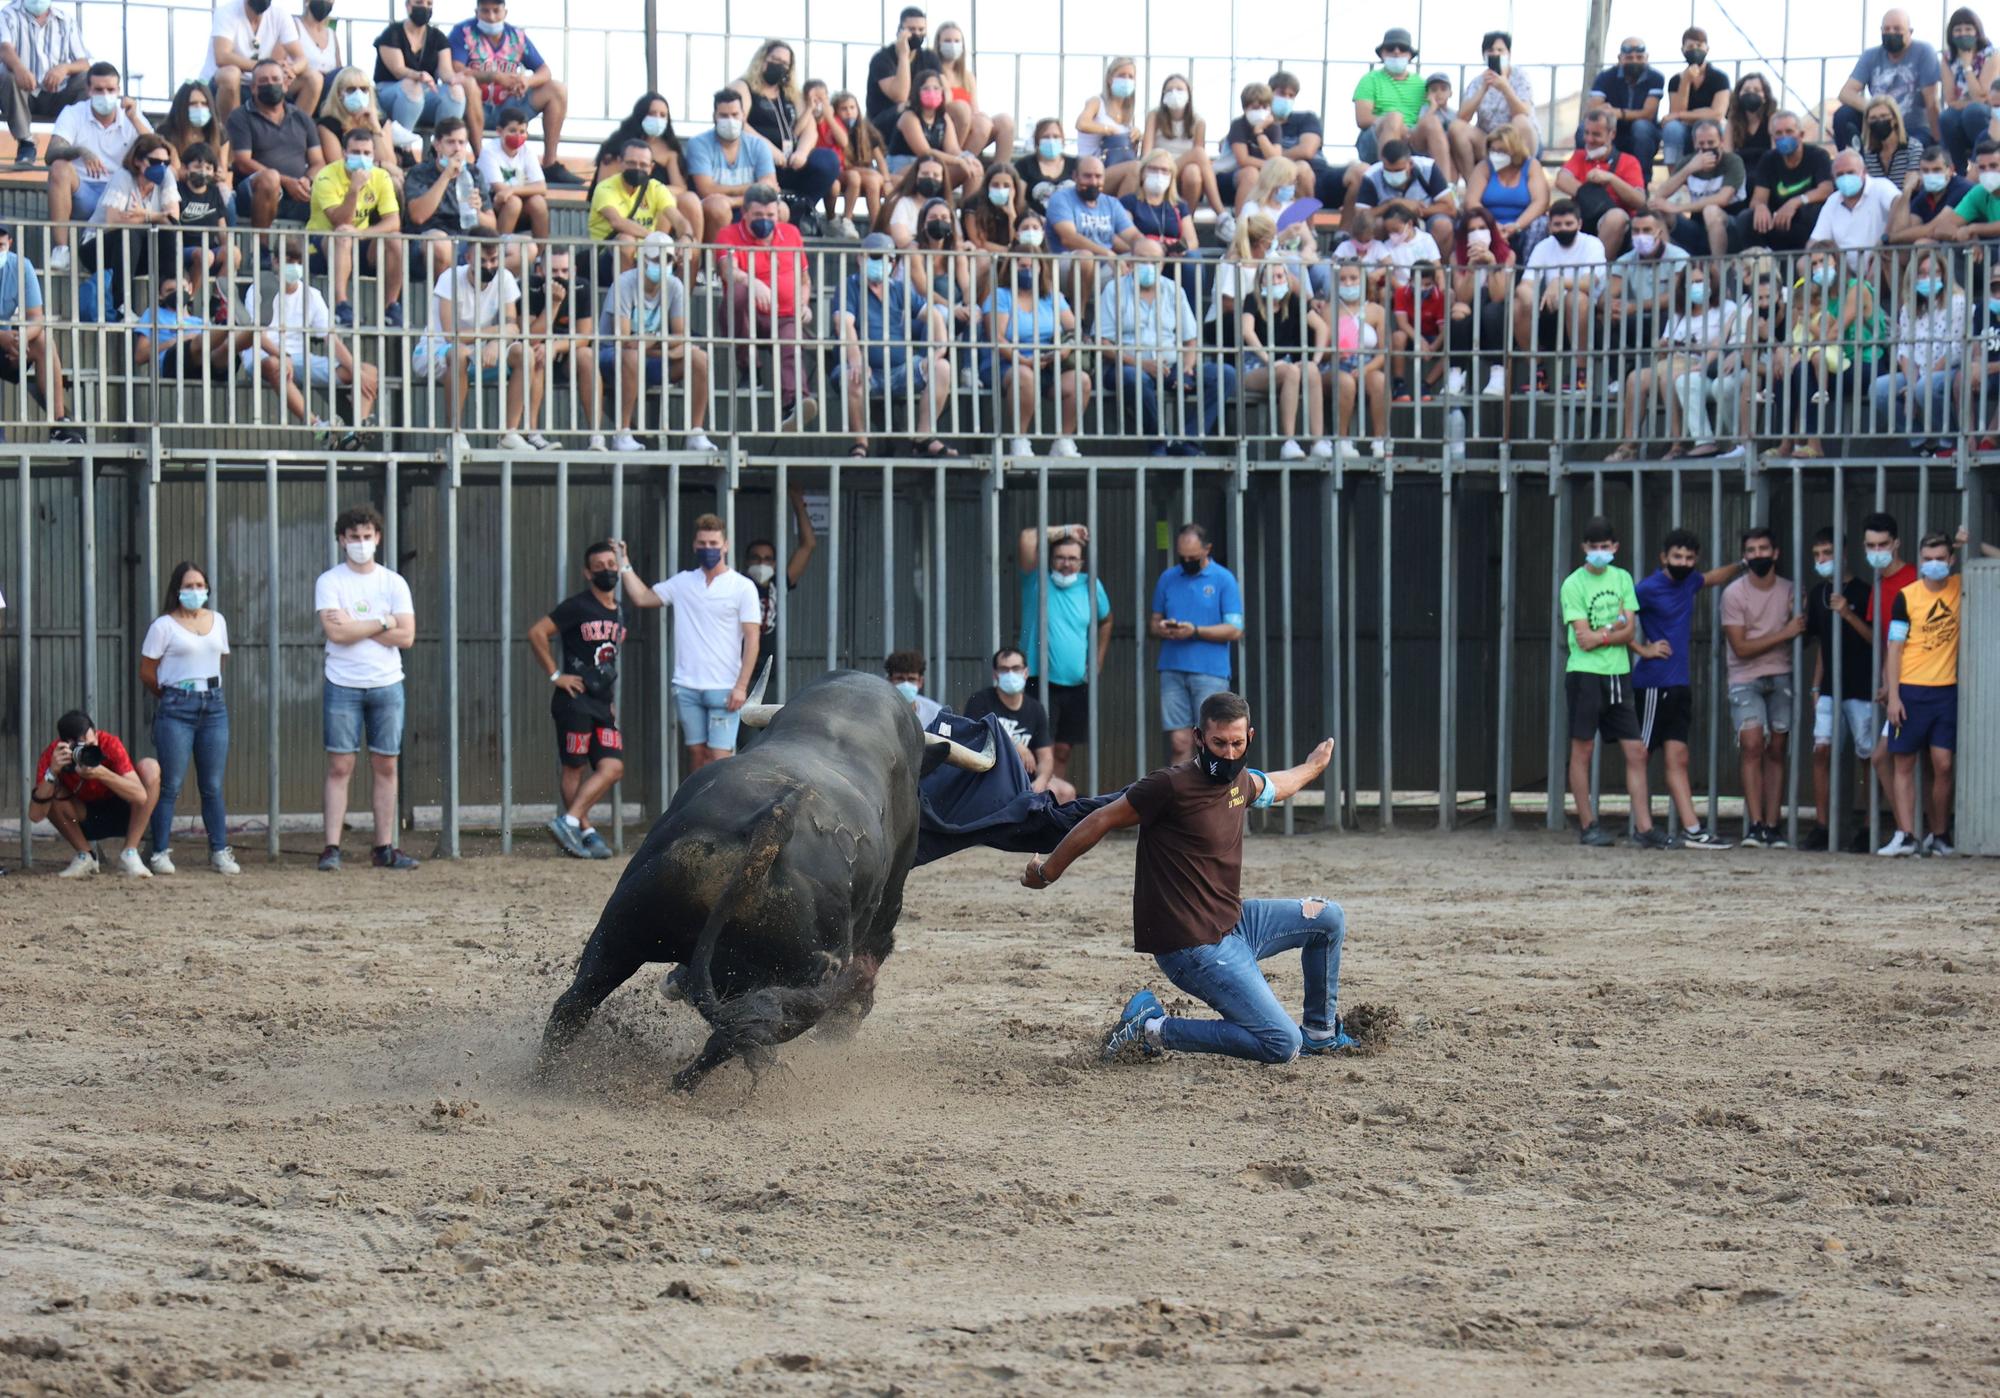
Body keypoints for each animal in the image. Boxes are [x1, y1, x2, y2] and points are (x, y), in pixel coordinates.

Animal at [536, 668, 1112, 1096]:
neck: (843, 725)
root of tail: (774, 819)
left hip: (624, 924)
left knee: (575, 1003)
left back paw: (544, 1077)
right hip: (804, 968)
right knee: (748, 1025)